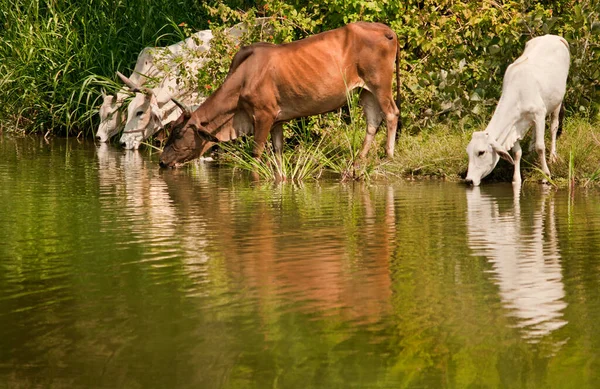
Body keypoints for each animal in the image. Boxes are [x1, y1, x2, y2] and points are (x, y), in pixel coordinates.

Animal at [161, 21, 398, 167]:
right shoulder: (277, 121)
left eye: (179, 133)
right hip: (364, 91)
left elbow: (256, 153)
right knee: (372, 121)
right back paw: (359, 159)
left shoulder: (263, 116)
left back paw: (389, 155)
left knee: (391, 114)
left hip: (380, 84)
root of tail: (386, 31)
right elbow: (278, 154)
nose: (162, 161)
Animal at [464, 34, 572, 186]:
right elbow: (517, 153)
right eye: (468, 152)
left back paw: (552, 156)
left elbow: (541, 146)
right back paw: (531, 150)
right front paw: (516, 179)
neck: (518, 93)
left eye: (481, 152)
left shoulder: (539, 113)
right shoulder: (514, 124)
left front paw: (546, 175)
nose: (469, 180)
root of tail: (553, 37)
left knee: (553, 127)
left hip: (558, 100)